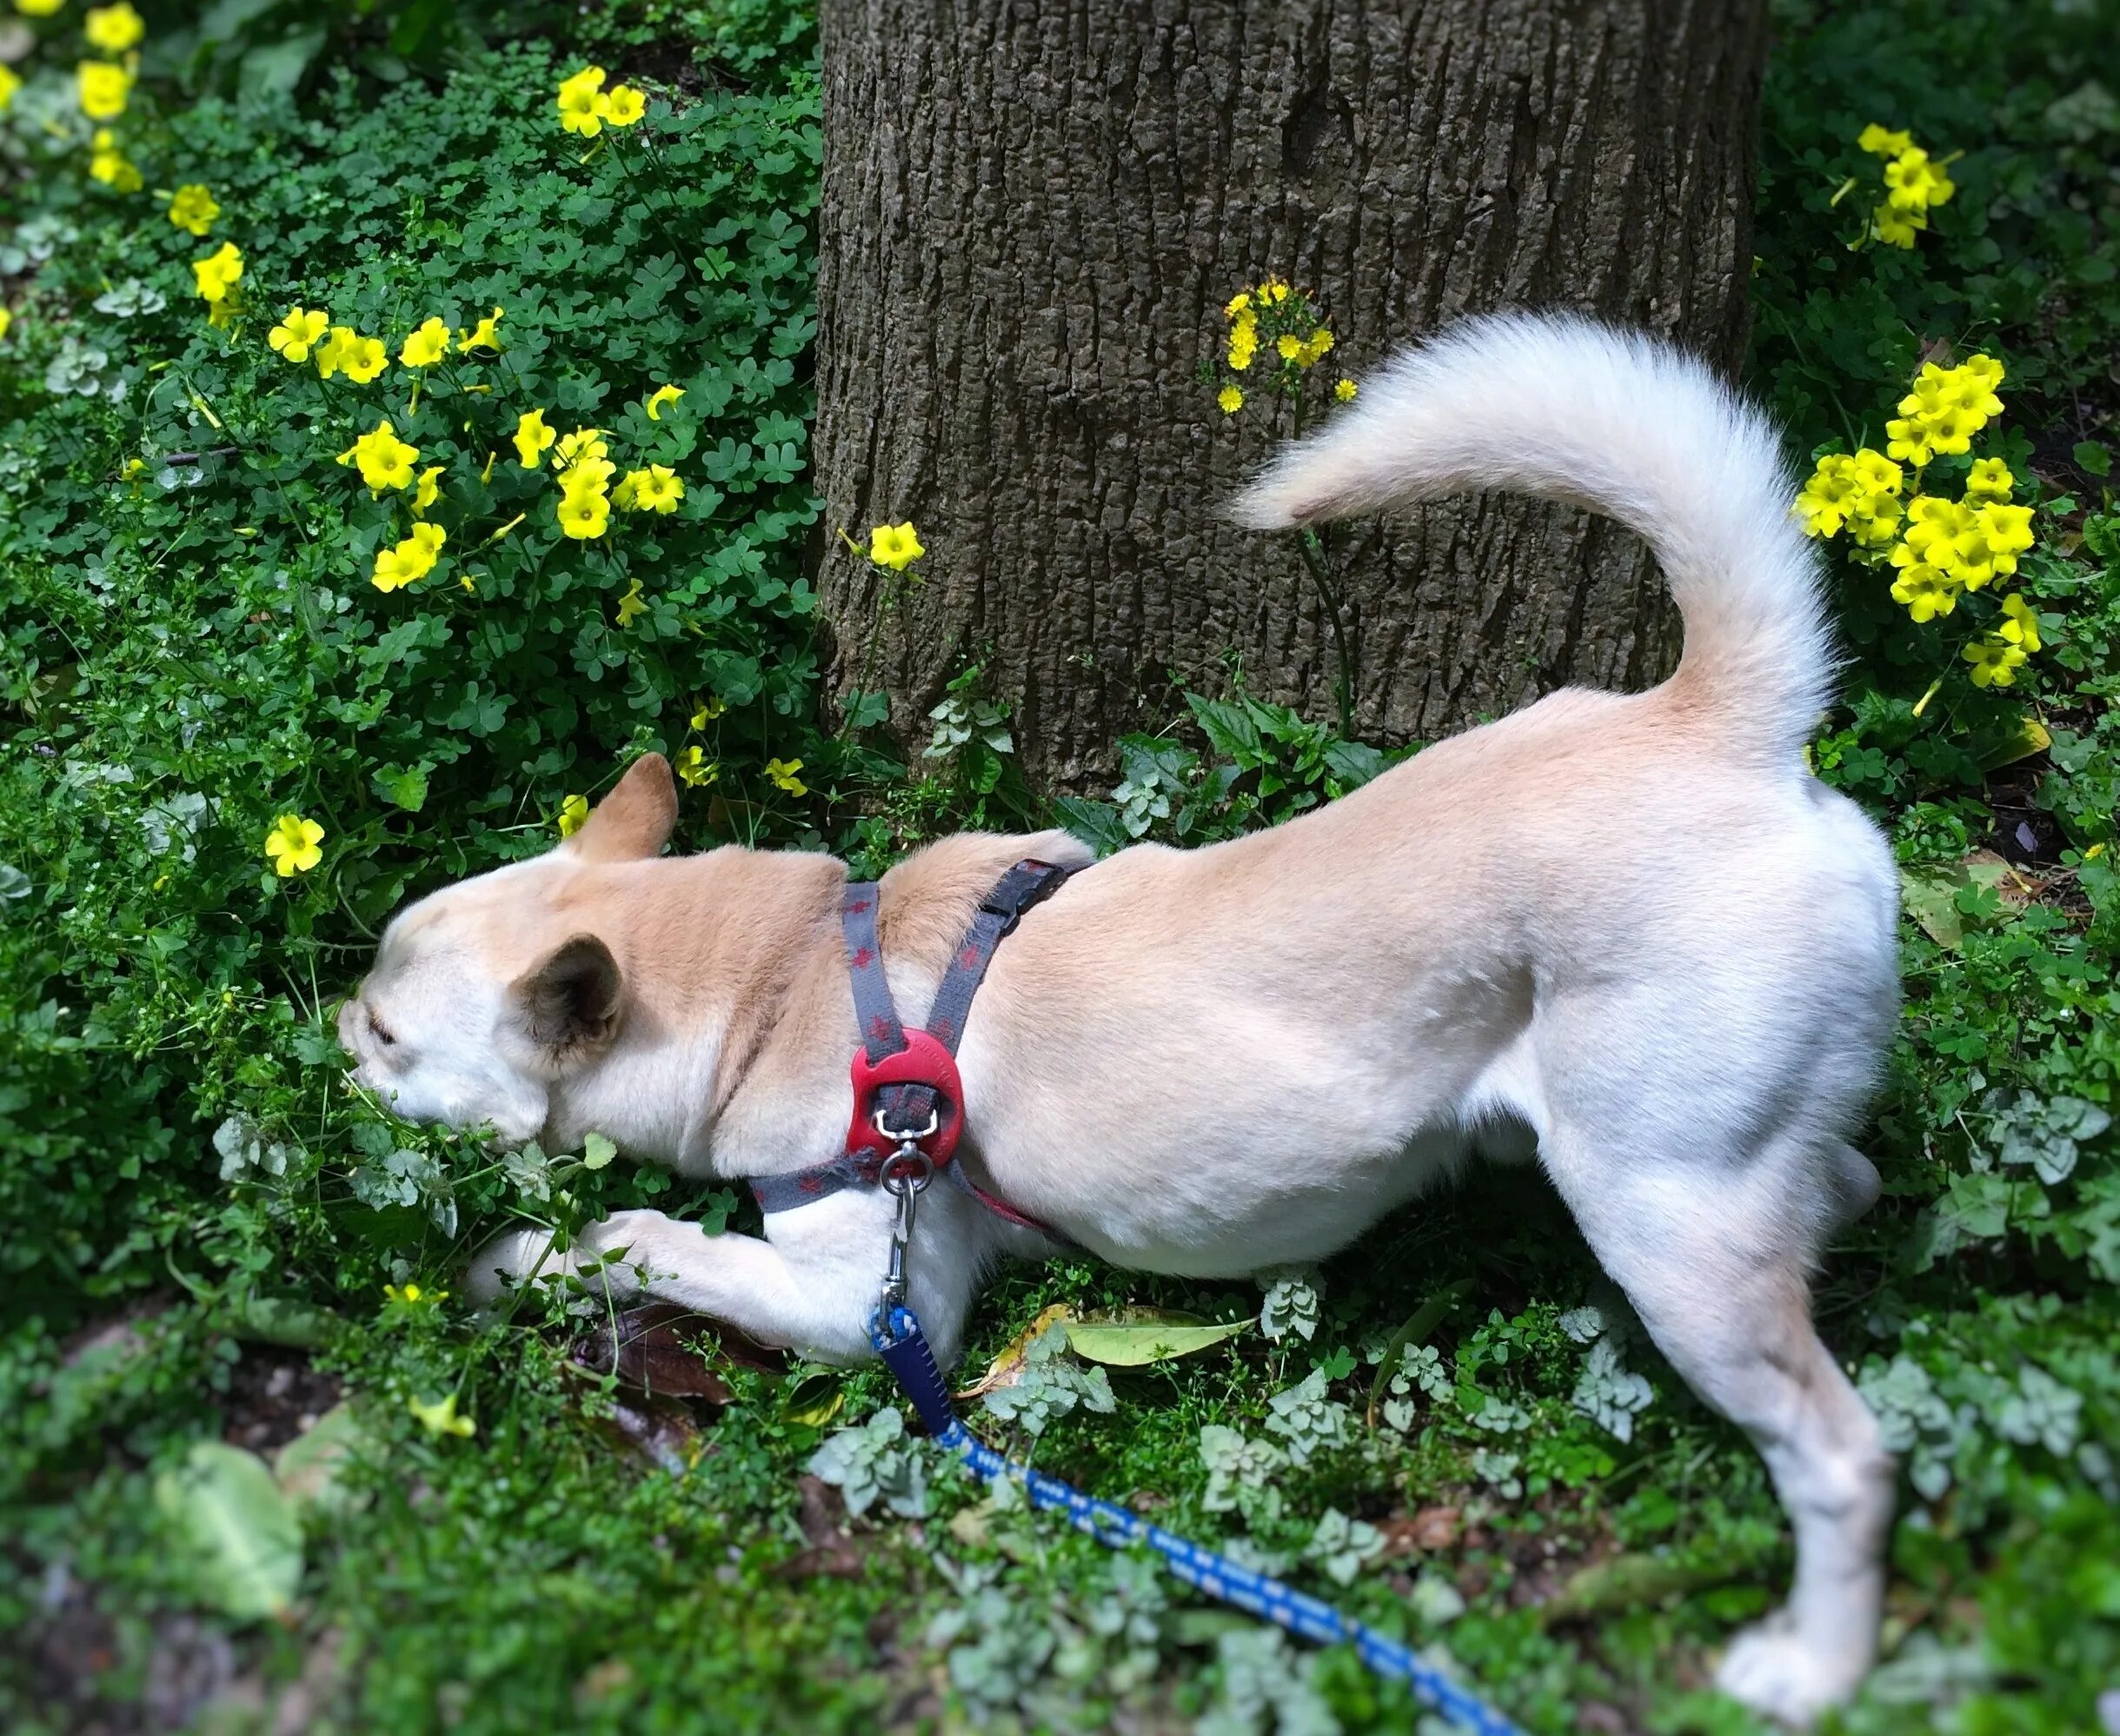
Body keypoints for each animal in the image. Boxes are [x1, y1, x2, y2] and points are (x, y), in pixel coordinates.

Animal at [343, 316, 1908, 1720]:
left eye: (387, 1037)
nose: (330, 1046)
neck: (781, 970)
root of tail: (1714, 722)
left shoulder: (866, 1303)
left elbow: (645, 1238)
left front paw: (516, 1255)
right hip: (1703, 1164)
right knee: (1842, 1181)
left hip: (1660, 1214)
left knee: (1843, 1457)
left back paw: (1808, 1666)